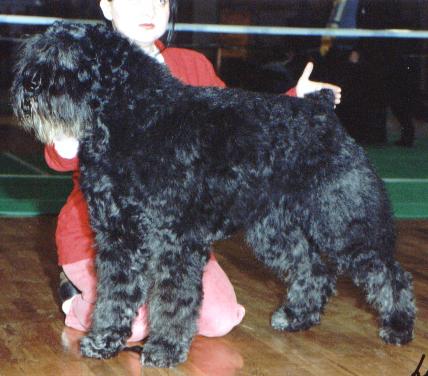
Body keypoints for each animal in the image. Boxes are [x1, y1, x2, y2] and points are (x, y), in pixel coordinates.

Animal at [10, 22, 414, 368]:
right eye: (35, 51)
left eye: (69, 55)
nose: (30, 83)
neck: (135, 116)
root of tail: (322, 110)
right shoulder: (118, 238)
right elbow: (114, 293)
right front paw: (104, 339)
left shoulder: (174, 240)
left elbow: (172, 299)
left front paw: (164, 349)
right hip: (273, 231)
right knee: (313, 269)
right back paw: (296, 316)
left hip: (344, 222)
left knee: (389, 274)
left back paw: (398, 327)